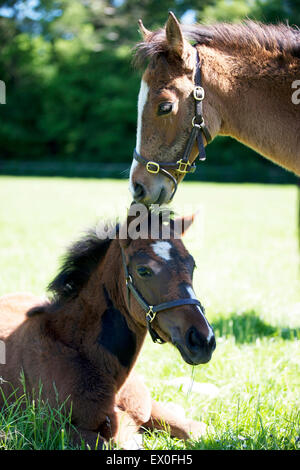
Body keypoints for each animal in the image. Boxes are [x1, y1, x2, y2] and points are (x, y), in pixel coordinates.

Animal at [0, 208, 216, 448]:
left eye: (191, 265)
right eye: (143, 270)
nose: (203, 340)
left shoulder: (148, 407)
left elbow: (198, 429)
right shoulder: (50, 428)